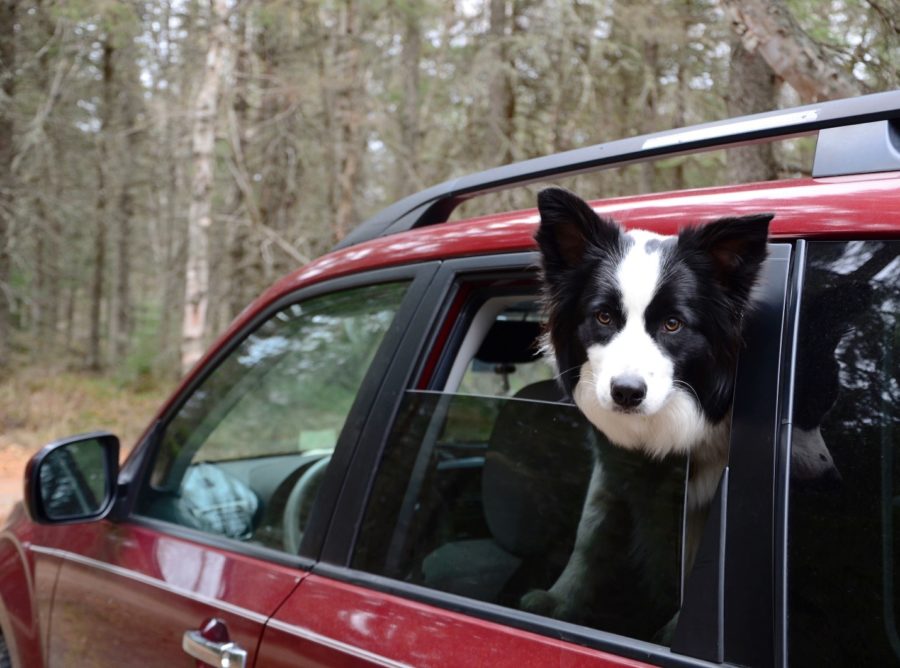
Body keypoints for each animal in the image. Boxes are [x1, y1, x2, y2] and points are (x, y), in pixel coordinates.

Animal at [528, 187, 772, 632]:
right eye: (604, 316)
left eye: (673, 324)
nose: (626, 393)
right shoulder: (612, 465)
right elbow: (591, 530)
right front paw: (560, 599)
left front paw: (675, 629)